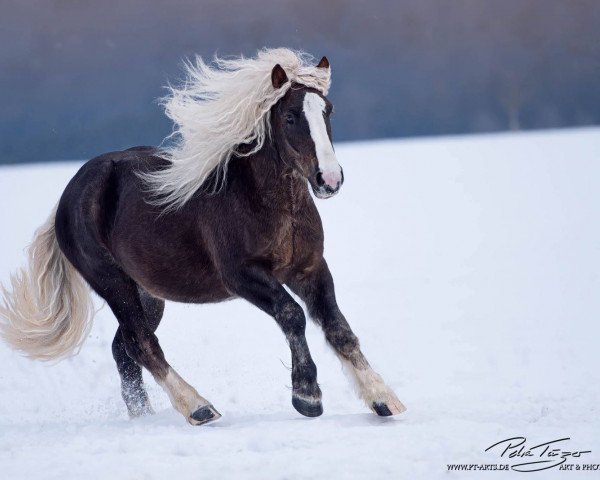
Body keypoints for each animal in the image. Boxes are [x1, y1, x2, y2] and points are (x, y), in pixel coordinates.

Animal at [0, 47, 406, 424]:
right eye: (290, 116)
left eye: (328, 111)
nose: (329, 179)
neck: (271, 205)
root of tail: (69, 194)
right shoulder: (241, 275)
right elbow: (292, 315)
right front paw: (307, 397)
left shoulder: (310, 269)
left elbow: (339, 328)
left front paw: (383, 398)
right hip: (113, 283)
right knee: (141, 344)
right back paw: (198, 407)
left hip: (148, 293)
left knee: (123, 348)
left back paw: (146, 416)